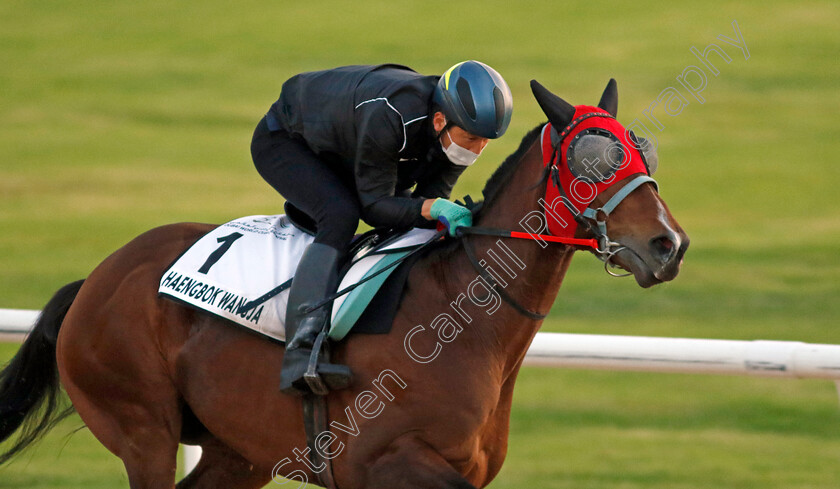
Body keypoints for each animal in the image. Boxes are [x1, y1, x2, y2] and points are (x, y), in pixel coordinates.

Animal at [0, 78, 688, 486]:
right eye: (590, 161)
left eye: (643, 152)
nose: (670, 245)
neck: (463, 322)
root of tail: (96, 278)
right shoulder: (383, 461)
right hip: (143, 429)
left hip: (235, 449)